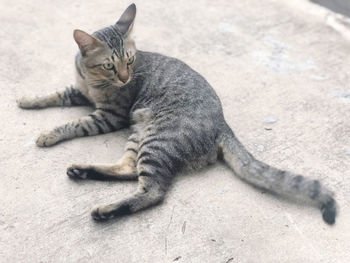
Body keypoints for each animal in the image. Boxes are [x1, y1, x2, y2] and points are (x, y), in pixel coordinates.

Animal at [17, 3, 336, 225]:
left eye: (130, 61)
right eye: (110, 65)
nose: (125, 78)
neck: (91, 79)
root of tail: (223, 124)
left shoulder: (109, 115)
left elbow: (74, 123)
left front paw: (47, 134)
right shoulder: (80, 92)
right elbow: (56, 94)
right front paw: (27, 99)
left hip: (156, 140)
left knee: (152, 191)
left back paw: (105, 210)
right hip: (139, 134)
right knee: (129, 169)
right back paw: (83, 171)